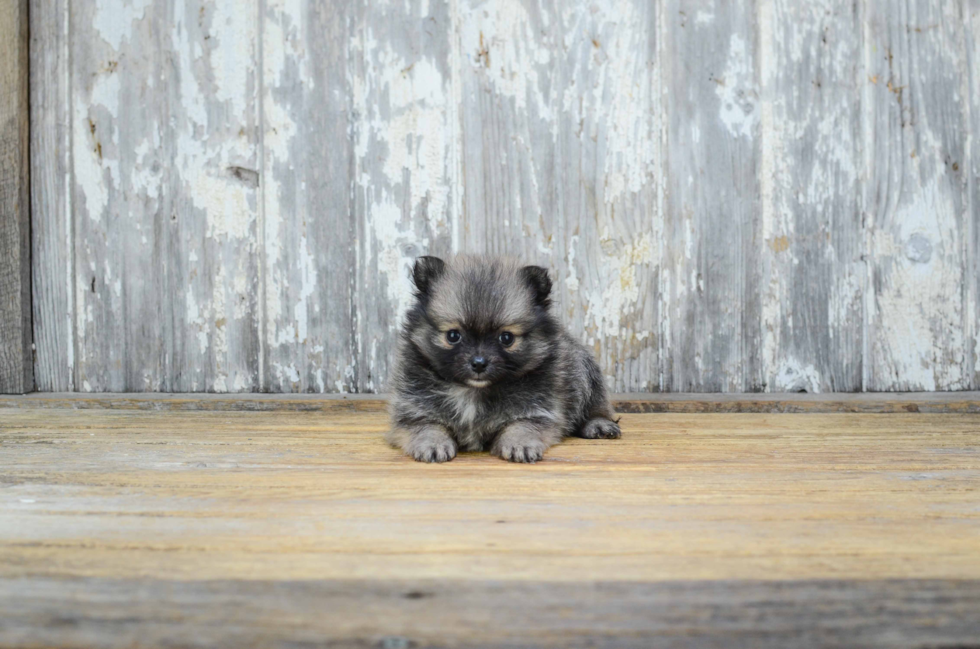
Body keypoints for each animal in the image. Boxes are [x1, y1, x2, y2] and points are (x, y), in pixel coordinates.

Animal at [384, 253, 620, 460]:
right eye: (453, 336)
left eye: (506, 338)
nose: (479, 363)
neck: (473, 392)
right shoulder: (412, 410)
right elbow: (426, 426)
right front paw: (433, 443)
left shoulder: (538, 410)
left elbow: (522, 425)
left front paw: (519, 443)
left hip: (584, 372)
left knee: (596, 406)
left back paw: (598, 425)